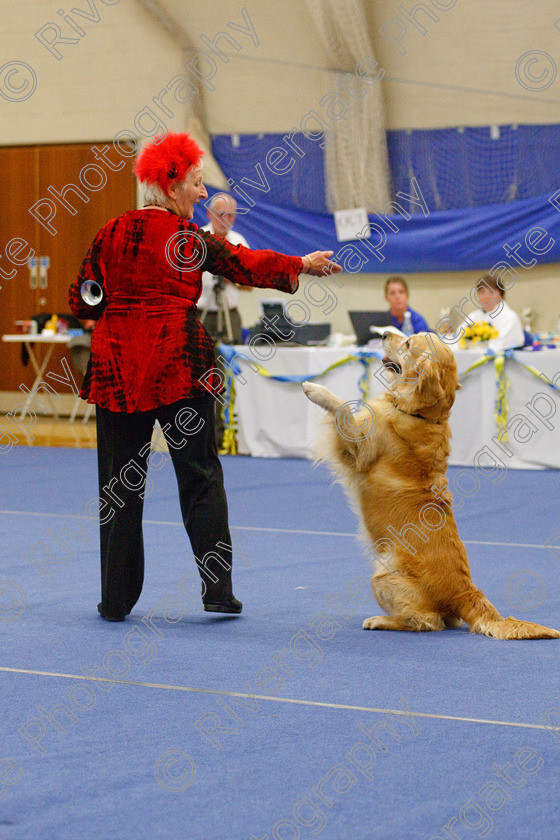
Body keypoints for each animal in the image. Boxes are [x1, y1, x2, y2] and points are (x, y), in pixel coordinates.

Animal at [304, 332, 556, 640]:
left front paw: (314, 389)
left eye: (409, 344)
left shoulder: (358, 445)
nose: (384, 334)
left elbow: (343, 407)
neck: (419, 413)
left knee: (426, 621)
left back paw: (381, 620)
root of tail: (466, 592)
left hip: (383, 572)